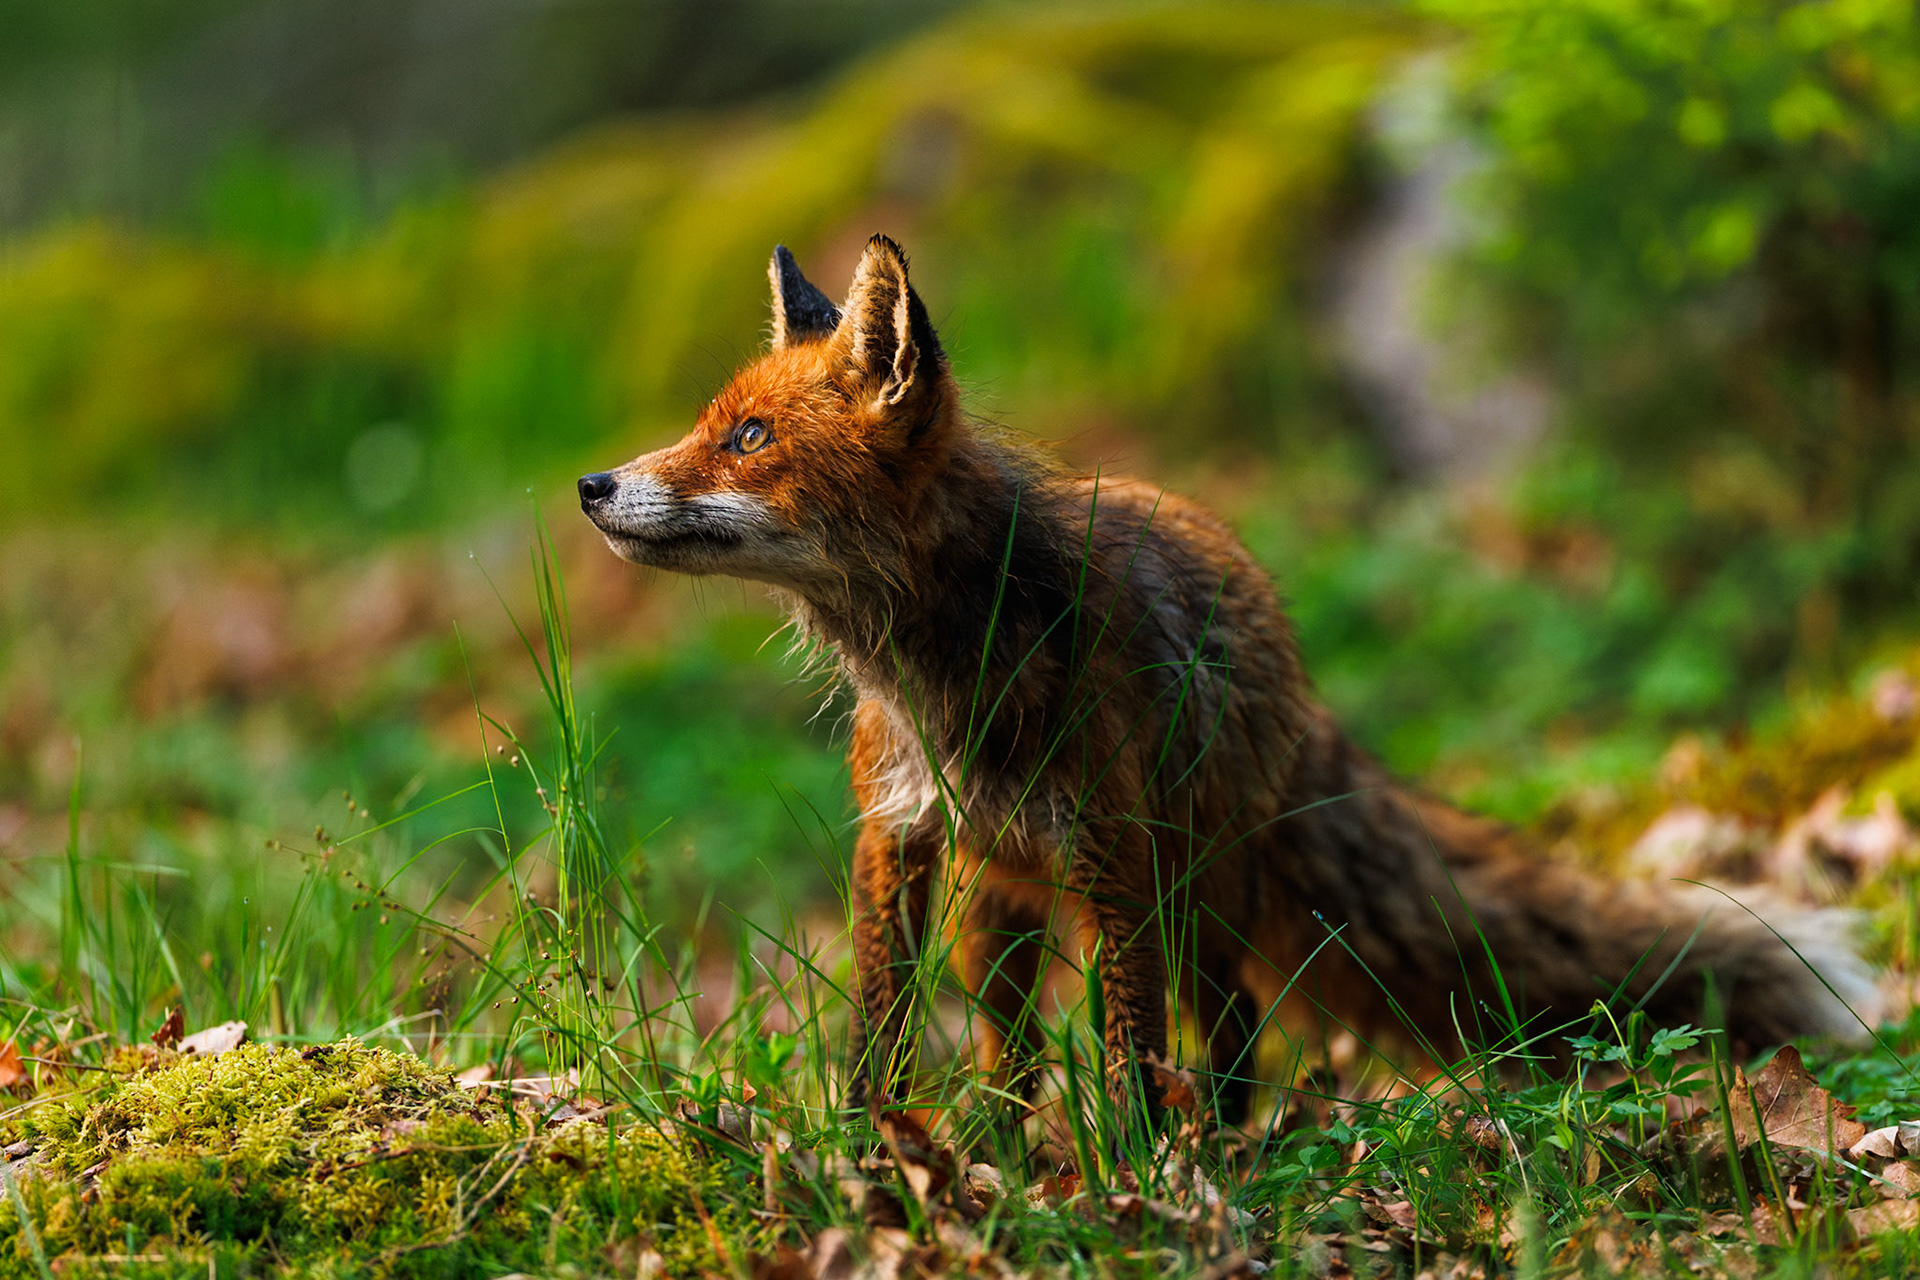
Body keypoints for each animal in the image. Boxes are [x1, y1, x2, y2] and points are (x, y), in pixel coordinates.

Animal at [578, 235, 1877, 1123]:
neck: (947, 674)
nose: (593, 483)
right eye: (707, 423)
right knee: (1012, 1055)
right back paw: (1006, 1147)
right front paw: (873, 1147)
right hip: (1000, 905)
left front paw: (1138, 1181)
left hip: (1191, 887)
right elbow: (880, 1031)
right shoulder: (894, 833)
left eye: (749, 438)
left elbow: (1131, 1046)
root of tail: (1298, 674)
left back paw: (1228, 1144)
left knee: (1234, 1028)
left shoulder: (1110, 848)